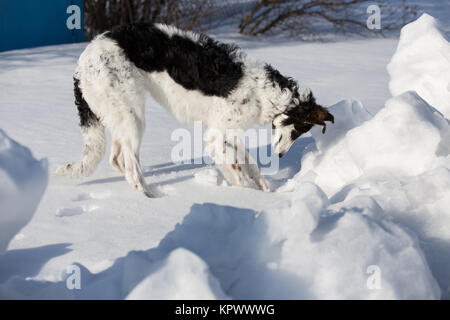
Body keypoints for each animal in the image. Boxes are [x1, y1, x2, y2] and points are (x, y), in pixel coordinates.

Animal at [54, 23, 332, 198]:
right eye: (297, 131)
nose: (281, 155)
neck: (264, 90)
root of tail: (82, 63)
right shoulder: (215, 137)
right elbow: (238, 174)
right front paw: (249, 199)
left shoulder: (229, 132)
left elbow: (251, 166)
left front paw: (267, 192)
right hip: (133, 118)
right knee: (132, 169)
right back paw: (151, 197)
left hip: (122, 118)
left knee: (117, 160)